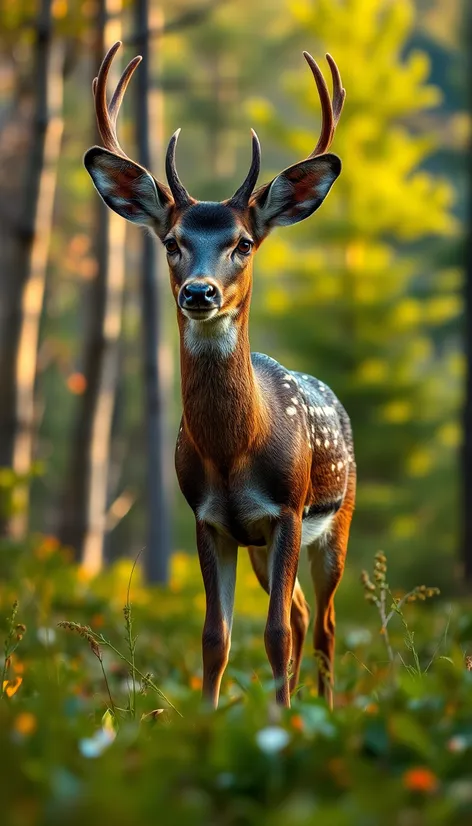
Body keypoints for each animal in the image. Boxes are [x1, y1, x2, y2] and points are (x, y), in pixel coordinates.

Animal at [84, 41, 354, 704]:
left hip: (337, 517)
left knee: (325, 622)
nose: (199, 293)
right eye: (172, 241)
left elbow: (274, 635)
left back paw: (326, 707)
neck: (237, 451)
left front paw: (285, 720)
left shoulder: (286, 510)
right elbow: (215, 638)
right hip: (262, 547)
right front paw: (213, 718)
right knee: (304, 614)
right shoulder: (210, 520)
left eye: (243, 243)